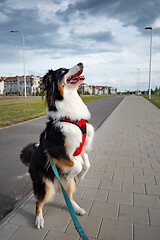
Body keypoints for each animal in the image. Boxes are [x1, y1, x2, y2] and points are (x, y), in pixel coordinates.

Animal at [20, 62, 94, 228]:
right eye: (63, 71)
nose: (81, 63)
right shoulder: (56, 151)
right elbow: (77, 164)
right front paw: (73, 173)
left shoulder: (81, 147)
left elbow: (86, 164)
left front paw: (81, 175)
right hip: (44, 185)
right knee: (39, 202)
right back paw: (39, 219)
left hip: (65, 185)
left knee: (69, 196)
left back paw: (77, 208)